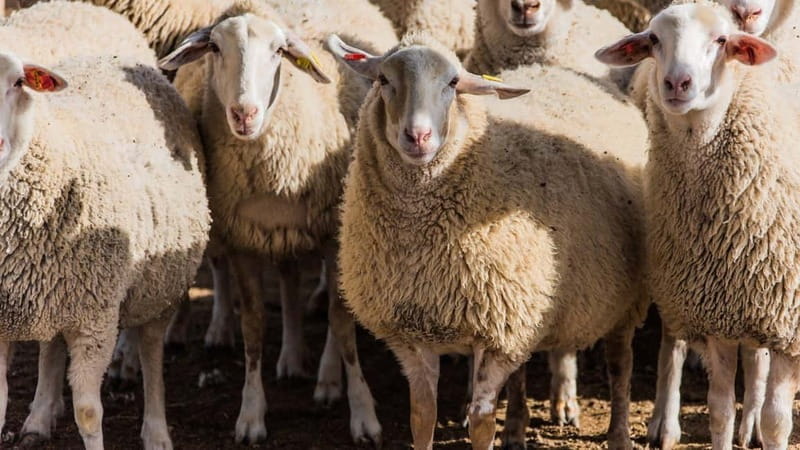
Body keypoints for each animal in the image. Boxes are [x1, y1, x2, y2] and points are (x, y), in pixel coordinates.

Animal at [158, 0, 396, 444]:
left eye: (279, 51)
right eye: (214, 47)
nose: (244, 113)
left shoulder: (333, 232)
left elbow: (342, 324)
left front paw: (363, 412)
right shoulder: (243, 239)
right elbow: (253, 328)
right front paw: (251, 414)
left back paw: (326, 379)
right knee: (287, 280)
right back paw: (292, 356)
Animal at [328, 31, 648, 450]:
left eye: (452, 83)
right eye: (383, 79)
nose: (418, 136)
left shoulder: (496, 334)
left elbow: (481, 422)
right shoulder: (414, 332)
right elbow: (422, 415)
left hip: (620, 298)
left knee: (620, 364)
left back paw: (618, 433)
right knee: (524, 371)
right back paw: (516, 427)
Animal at [596, 3, 800, 449]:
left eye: (721, 40)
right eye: (654, 39)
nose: (677, 82)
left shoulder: (787, 326)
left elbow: (777, 421)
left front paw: (764, 427)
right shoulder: (717, 312)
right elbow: (719, 411)